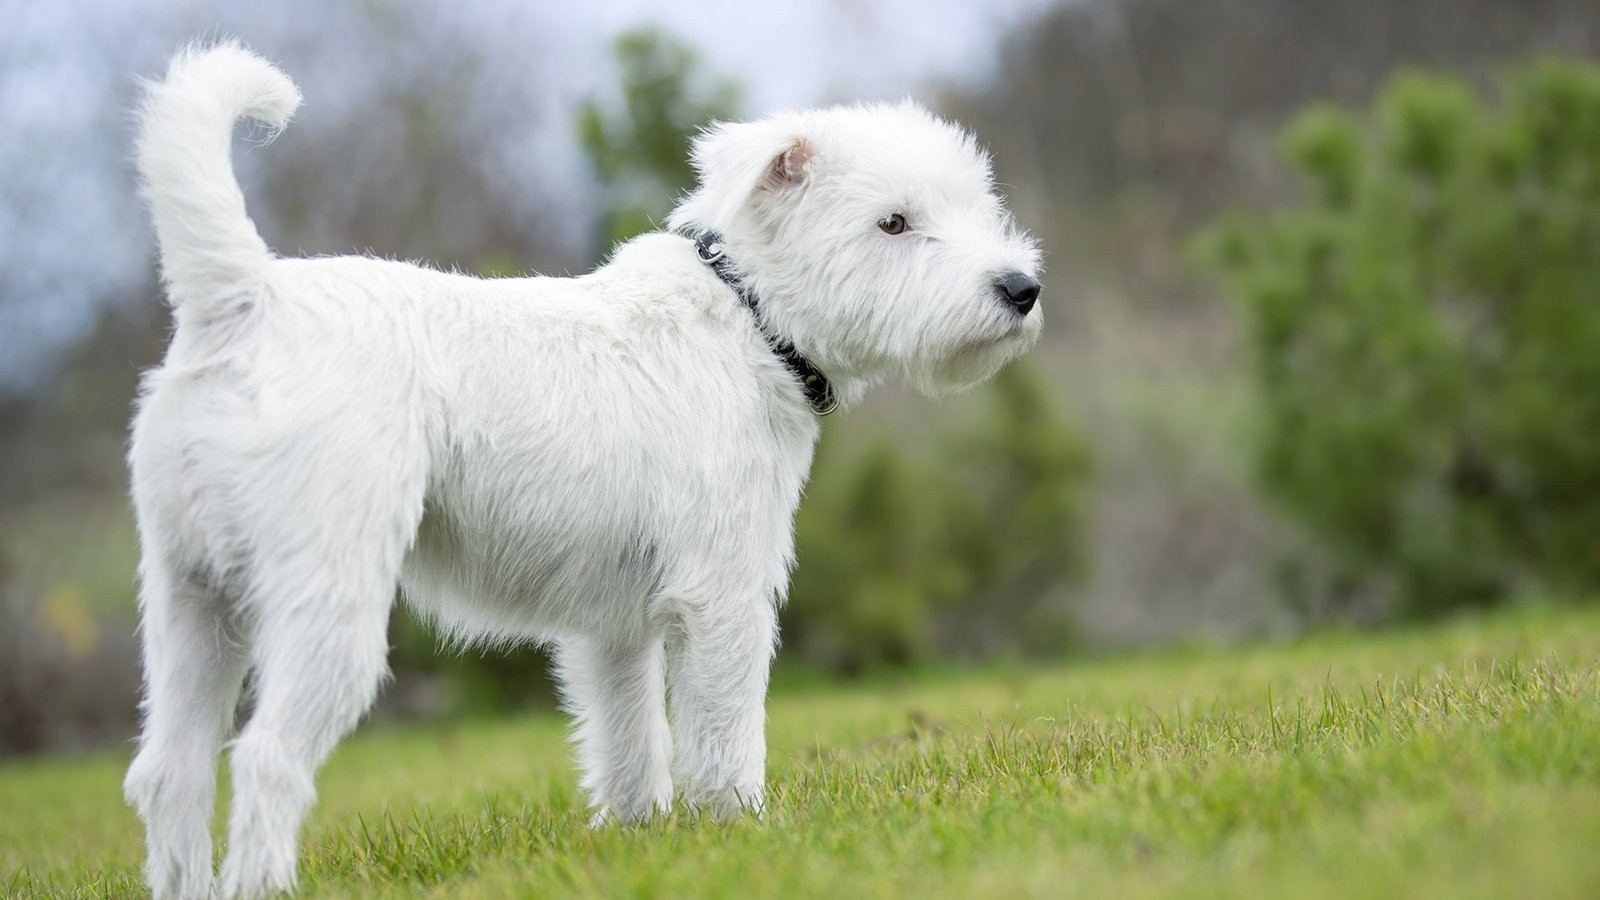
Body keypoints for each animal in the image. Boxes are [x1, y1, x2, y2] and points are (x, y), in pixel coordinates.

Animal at [128, 42, 1049, 896]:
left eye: (978, 204)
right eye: (893, 223)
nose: (1021, 289)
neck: (744, 316)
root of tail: (240, 300)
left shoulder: (613, 627)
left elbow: (630, 743)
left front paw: (641, 837)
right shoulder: (724, 596)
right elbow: (723, 730)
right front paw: (741, 830)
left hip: (192, 605)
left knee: (169, 773)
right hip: (325, 608)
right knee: (265, 757)